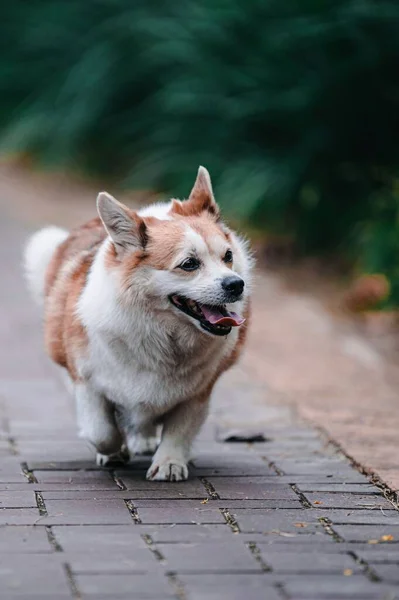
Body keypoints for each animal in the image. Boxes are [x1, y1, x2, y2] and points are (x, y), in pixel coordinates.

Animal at [25, 166, 253, 480]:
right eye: (189, 264)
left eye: (228, 256)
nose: (236, 284)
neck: (161, 332)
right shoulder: (87, 382)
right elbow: (101, 431)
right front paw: (114, 452)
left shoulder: (197, 393)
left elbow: (179, 429)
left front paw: (170, 462)